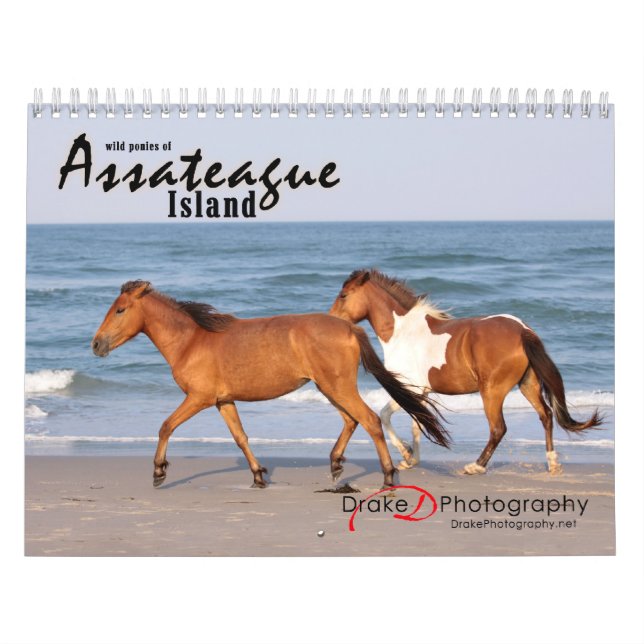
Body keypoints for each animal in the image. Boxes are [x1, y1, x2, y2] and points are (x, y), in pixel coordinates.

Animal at [91, 280, 449, 489]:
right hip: (328, 387)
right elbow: (240, 437)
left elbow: (166, 426)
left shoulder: (199, 398)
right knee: (352, 420)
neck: (191, 341)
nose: (96, 344)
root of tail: (349, 327)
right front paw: (259, 475)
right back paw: (336, 465)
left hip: (337, 387)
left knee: (370, 420)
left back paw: (388, 475)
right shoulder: (223, 401)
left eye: (120, 309)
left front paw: (159, 472)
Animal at [329, 269, 602, 475]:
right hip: (528, 384)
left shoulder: (410, 388)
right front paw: (411, 459)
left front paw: (406, 454)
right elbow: (418, 423)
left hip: (492, 391)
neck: (402, 333)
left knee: (498, 428)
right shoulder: (421, 392)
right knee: (546, 416)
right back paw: (552, 463)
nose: (331, 319)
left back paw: (476, 466)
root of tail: (522, 330)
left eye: (343, 295)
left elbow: (387, 416)